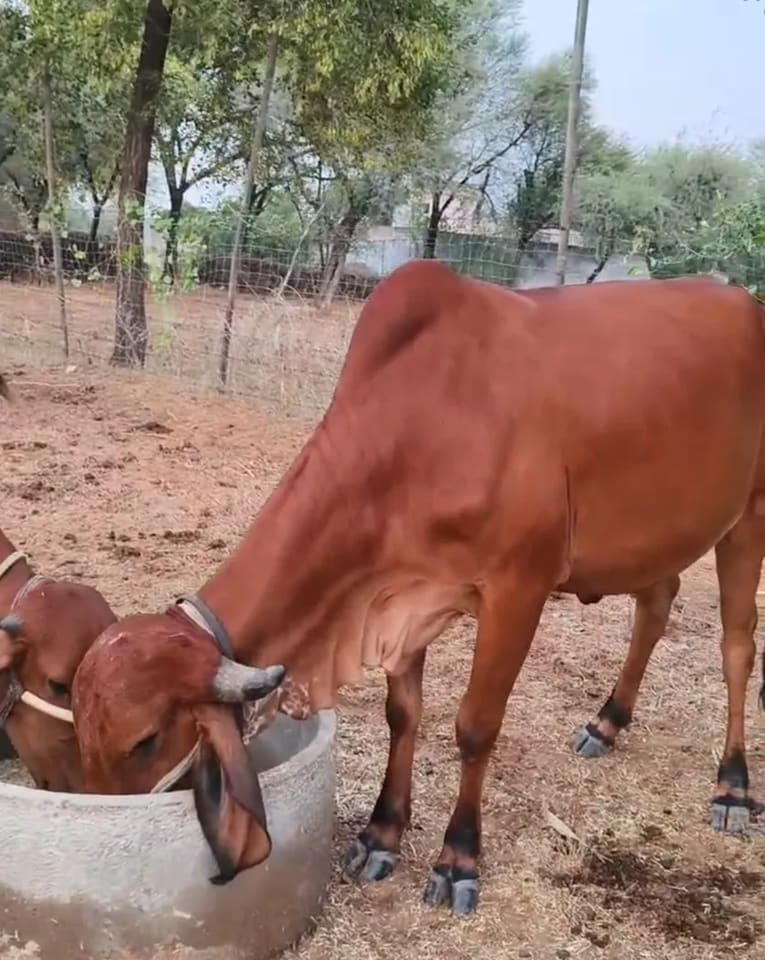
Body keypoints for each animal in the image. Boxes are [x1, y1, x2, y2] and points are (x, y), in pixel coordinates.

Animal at [71, 264, 765, 915]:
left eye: (144, 740)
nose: (108, 830)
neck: (425, 424)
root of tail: (742, 298)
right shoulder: (400, 593)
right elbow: (402, 714)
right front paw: (381, 835)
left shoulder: (518, 588)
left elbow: (475, 726)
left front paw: (457, 860)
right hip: (660, 531)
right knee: (656, 605)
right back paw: (608, 721)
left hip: (747, 517)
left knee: (737, 648)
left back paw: (732, 784)